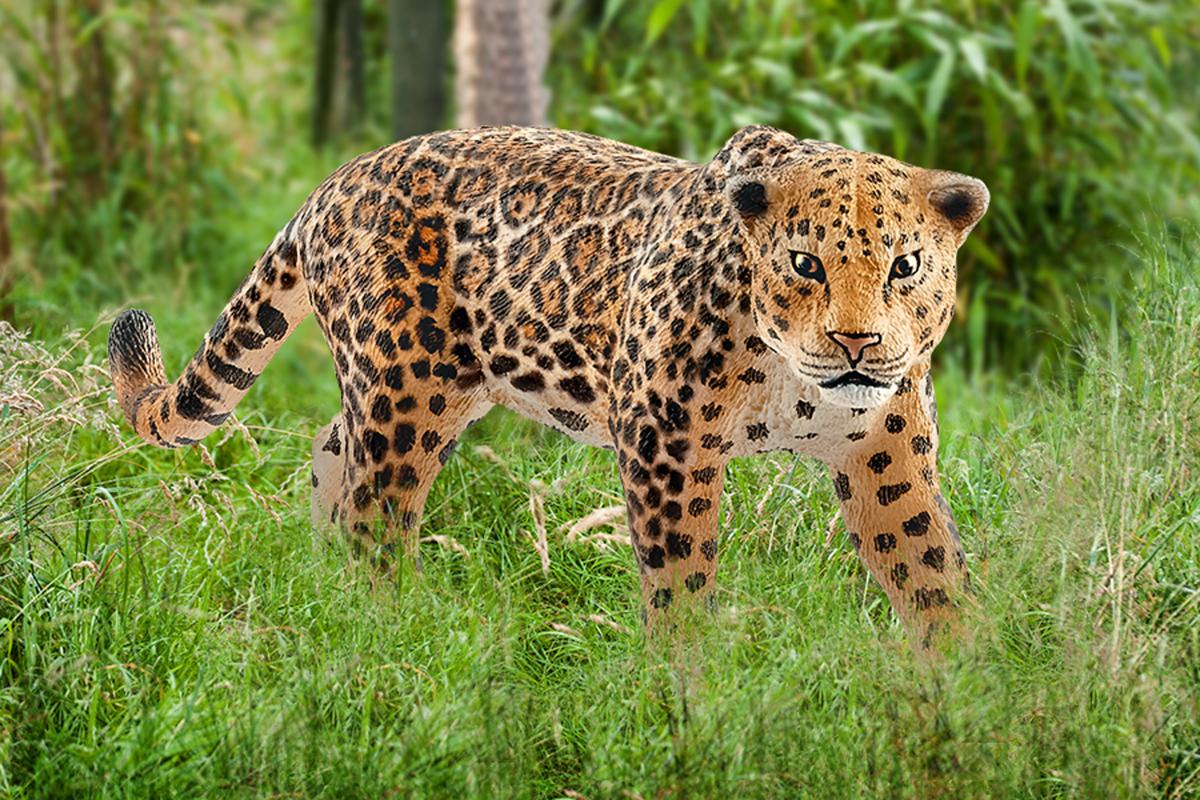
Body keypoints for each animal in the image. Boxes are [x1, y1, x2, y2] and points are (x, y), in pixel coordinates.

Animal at [108, 125, 989, 648]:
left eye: (906, 266)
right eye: (805, 264)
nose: (857, 343)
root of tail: (332, 184)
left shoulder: (886, 452)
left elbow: (929, 562)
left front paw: (967, 679)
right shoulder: (666, 442)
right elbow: (680, 575)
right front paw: (692, 685)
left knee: (334, 454)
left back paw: (328, 592)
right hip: (409, 391)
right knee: (376, 514)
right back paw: (393, 634)